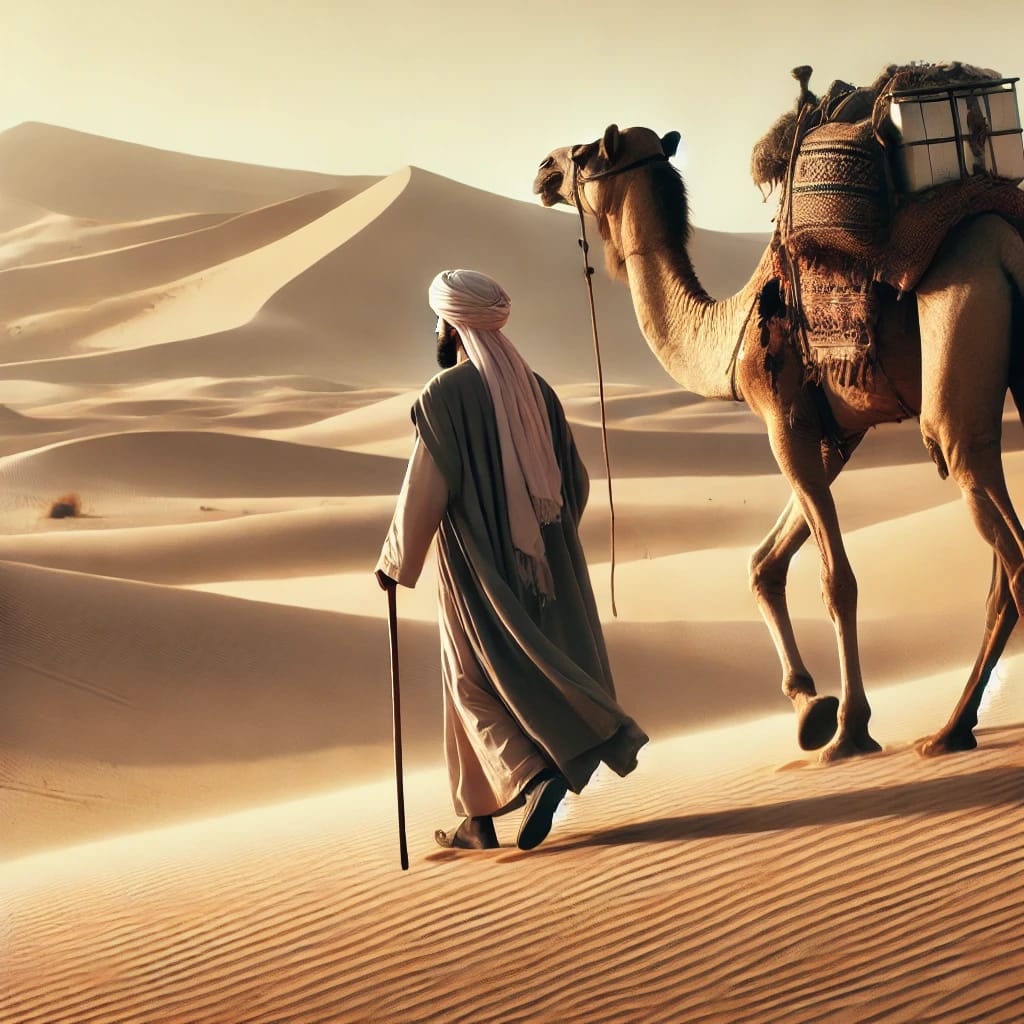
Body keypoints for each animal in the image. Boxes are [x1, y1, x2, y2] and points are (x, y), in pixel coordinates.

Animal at [533, 123, 1024, 761]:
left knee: (980, 493)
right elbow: (762, 563)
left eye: (587, 152)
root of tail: (1006, 240)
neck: (730, 331)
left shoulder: (781, 417)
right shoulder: (837, 433)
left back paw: (946, 730)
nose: (544, 169)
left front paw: (848, 729)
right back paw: (952, 729)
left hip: (957, 335)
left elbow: (836, 581)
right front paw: (810, 707)